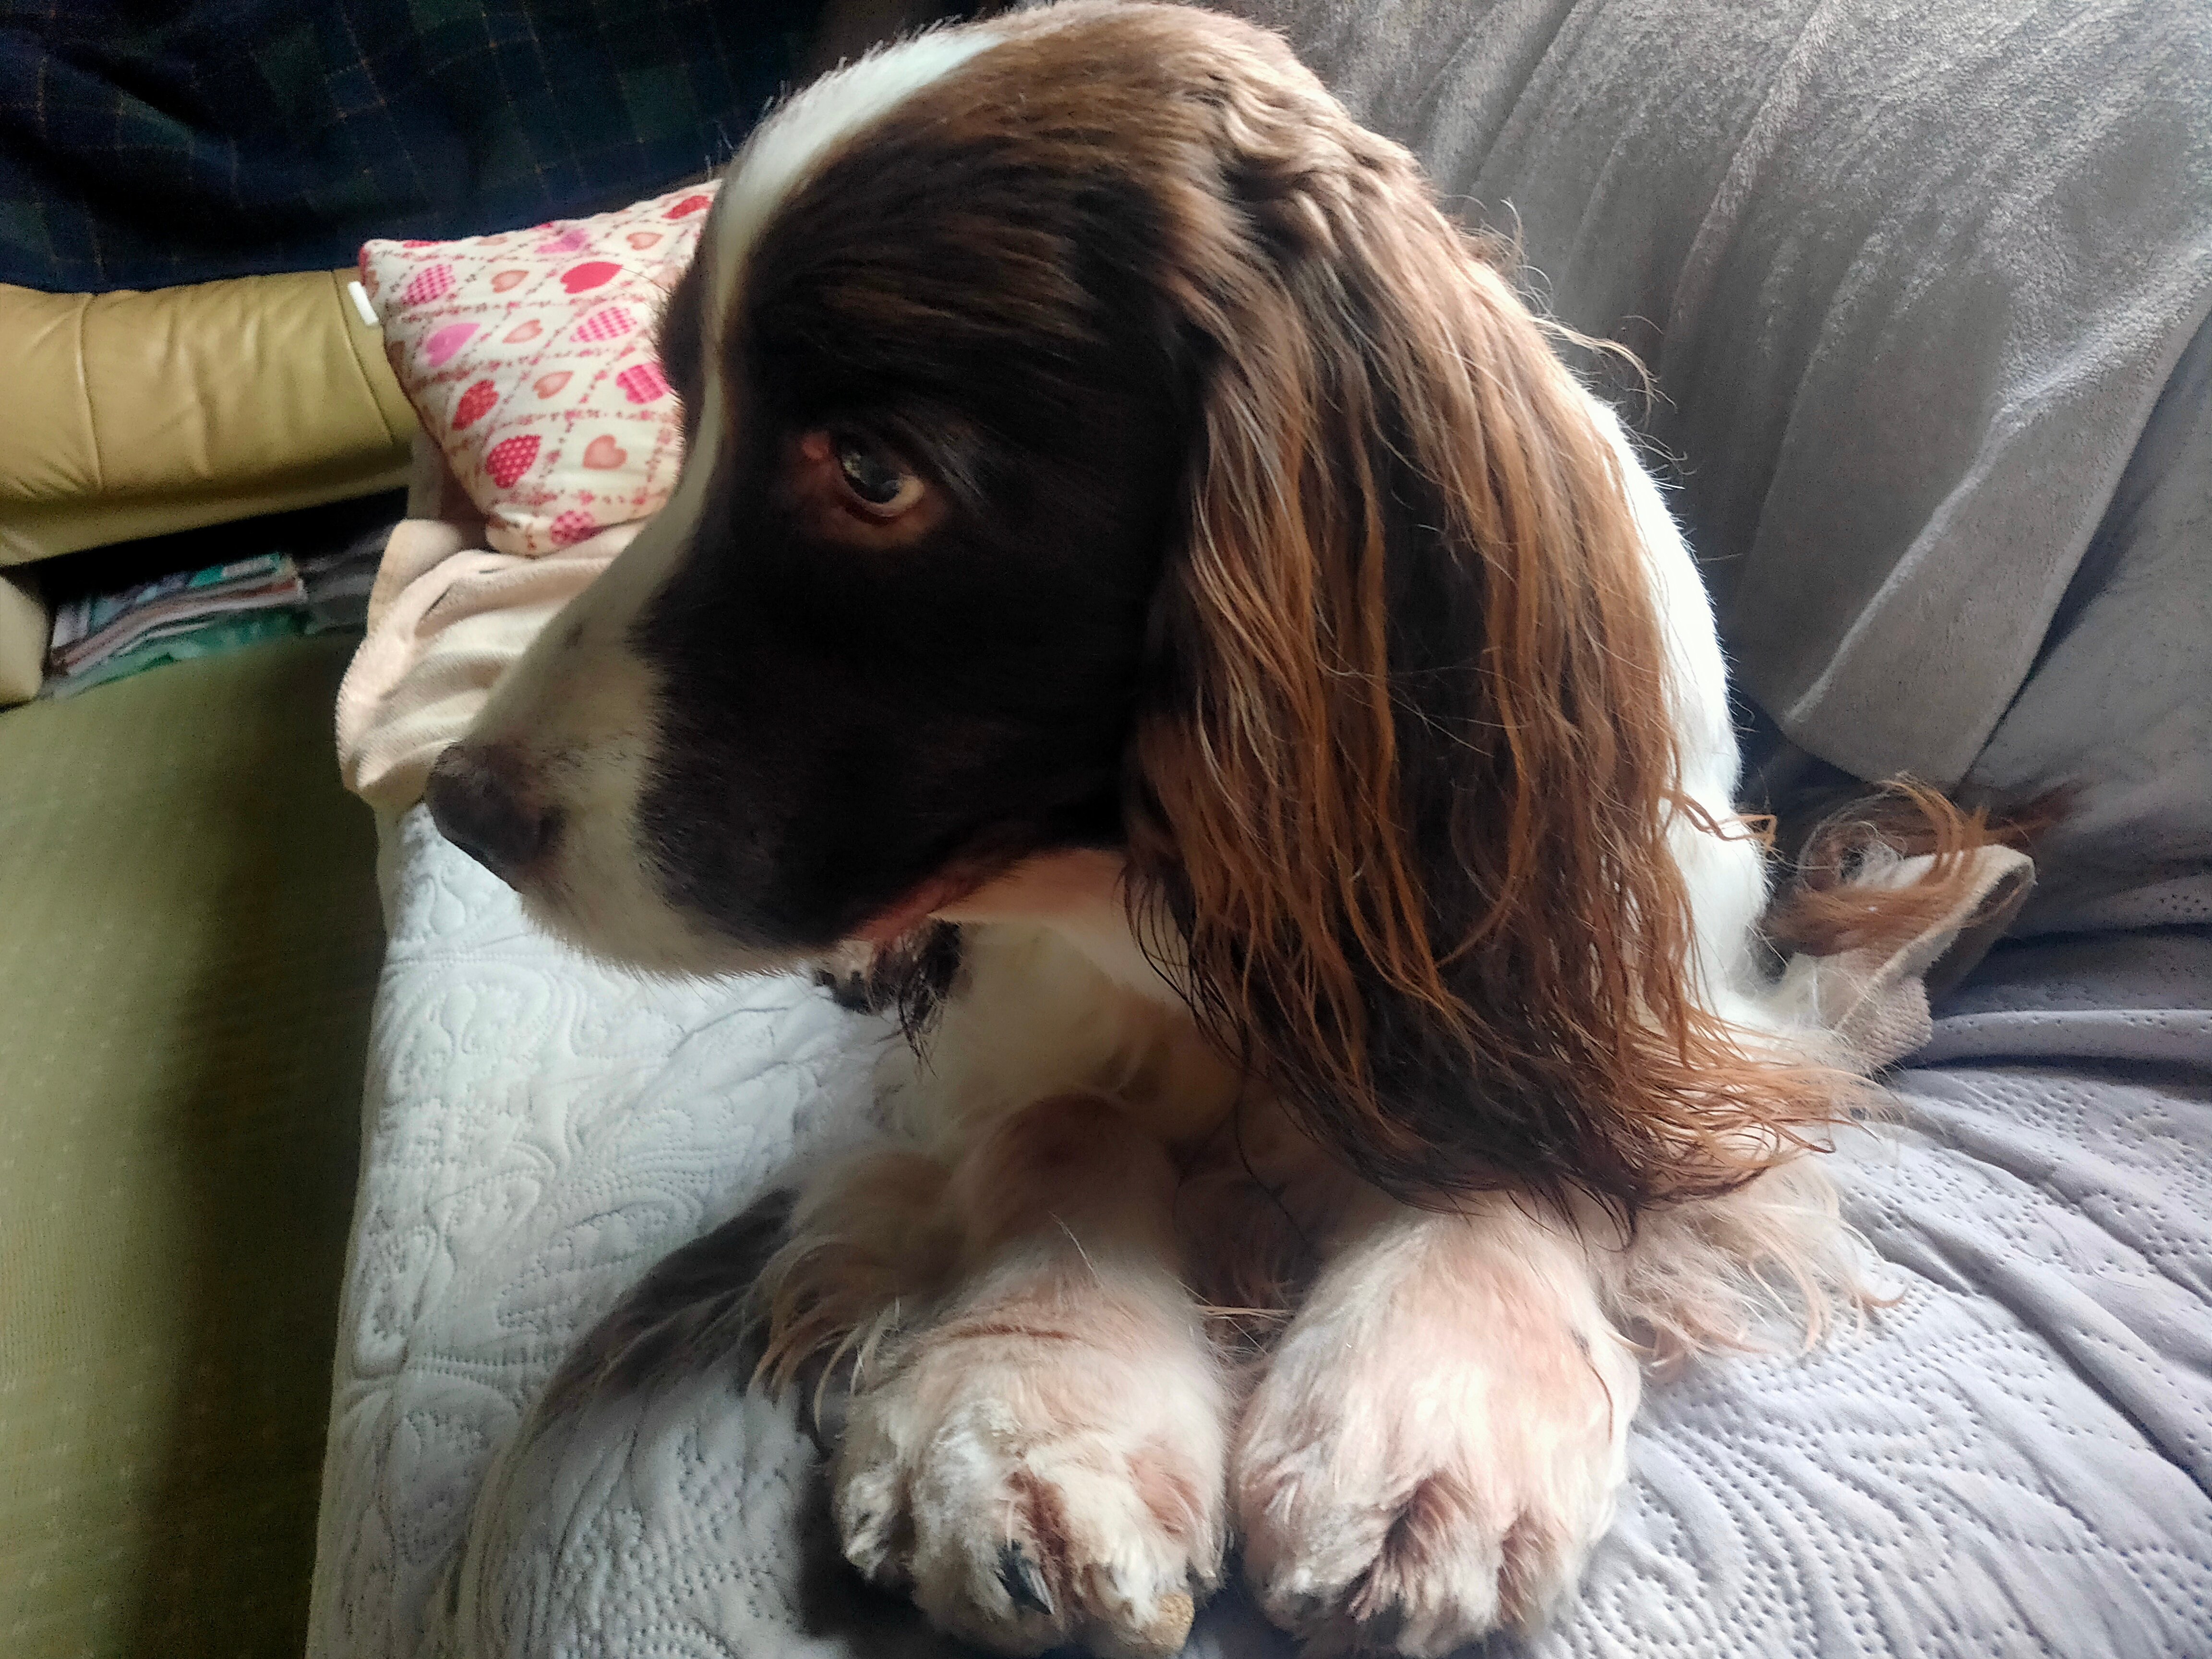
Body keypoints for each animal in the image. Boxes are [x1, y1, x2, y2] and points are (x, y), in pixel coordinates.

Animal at [424, 6, 2000, 1653]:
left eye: (869, 470)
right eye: (687, 416)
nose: (461, 805)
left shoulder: (1617, 986)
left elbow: (1514, 1115)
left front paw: (1433, 1422)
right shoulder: (1006, 1027)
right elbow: (1062, 1118)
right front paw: (1024, 1421)